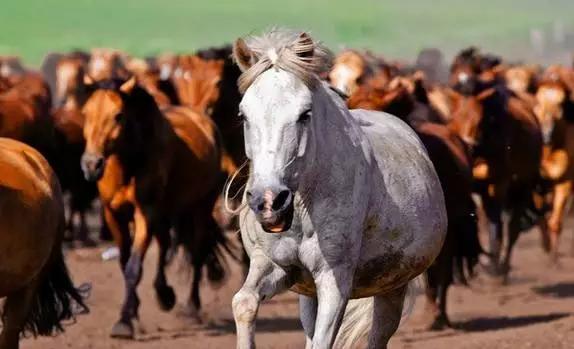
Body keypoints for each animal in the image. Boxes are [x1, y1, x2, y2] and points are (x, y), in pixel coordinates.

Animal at [81, 76, 234, 338]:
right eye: (85, 113)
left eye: (118, 115)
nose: (91, 165)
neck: (129, 164)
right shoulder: (114, 214)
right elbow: (124, 262)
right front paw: (133, 310)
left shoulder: (145, 213)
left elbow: (133, 268)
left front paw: (124, 322)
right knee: (164, 244)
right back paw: (165, 294)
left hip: (200, 207)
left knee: (197, 252)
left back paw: (191, 308)